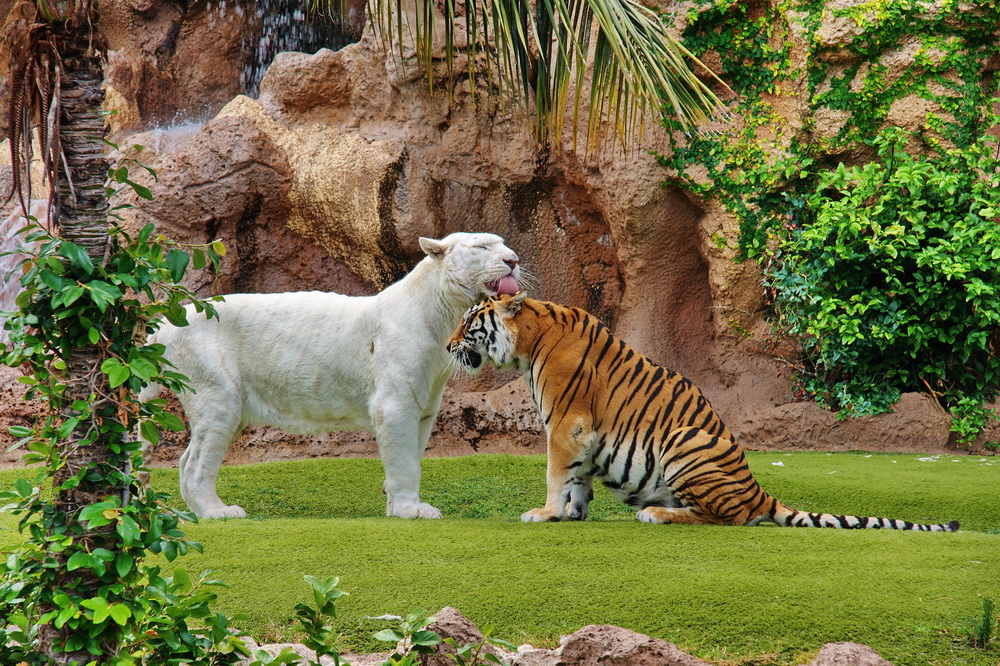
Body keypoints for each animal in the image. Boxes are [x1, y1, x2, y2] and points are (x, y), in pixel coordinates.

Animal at [141, 233, 524, 520]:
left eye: (504, 245)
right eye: (482, 247)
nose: (513, 260)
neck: (442, 312)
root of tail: (163, 326)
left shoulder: (426, 401)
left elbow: (413, 452)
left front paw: (398, 505)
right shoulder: (396, 400)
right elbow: (404, 457)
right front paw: (411, 510)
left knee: (187, 457)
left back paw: (195, 512)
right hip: (217, 389)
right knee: (198, 460)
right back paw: (218, 512)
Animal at [448, 294, 960, 532]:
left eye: (469, 322)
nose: (450, 345)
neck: (528, 342)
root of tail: (759, 491)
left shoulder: (566, 424)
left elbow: (557, 473)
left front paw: (546, 513)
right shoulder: (583, 436)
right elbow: (579, 478)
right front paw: (573, 514)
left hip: (683, 441)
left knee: (724, 518)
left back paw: (656, 514)